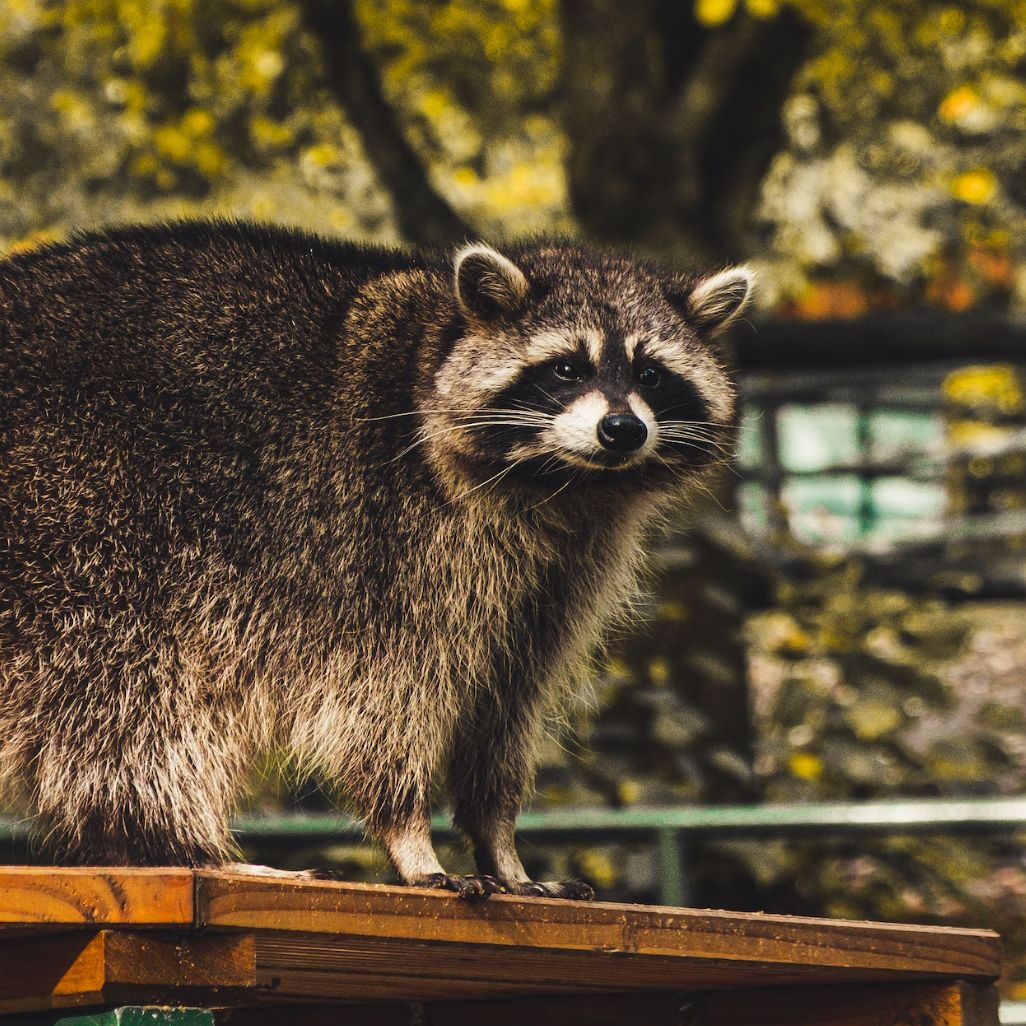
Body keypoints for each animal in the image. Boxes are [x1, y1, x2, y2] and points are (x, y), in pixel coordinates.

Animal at [0, 224, 755, 898]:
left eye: (652, 374)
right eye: (568, 367)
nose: (622, 429)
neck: (561, 482)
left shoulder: (558, 578)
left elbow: (504, 708)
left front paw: (500, 842)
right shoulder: (392, 543)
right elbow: (386, 701)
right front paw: (408, 834)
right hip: (82, 520)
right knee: (126, 695)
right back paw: (178, 844)